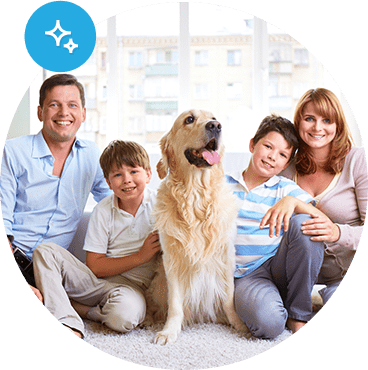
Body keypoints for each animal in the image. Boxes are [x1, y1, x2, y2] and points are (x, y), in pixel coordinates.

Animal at [150, 109, 250, 344]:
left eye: (213, 117)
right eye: (189, 119)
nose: (216, 126)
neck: (195, 197)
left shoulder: (226, 255)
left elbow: (229, 297)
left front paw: (239, 324)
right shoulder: (171, 260)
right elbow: (175, 303)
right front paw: (169, 330)